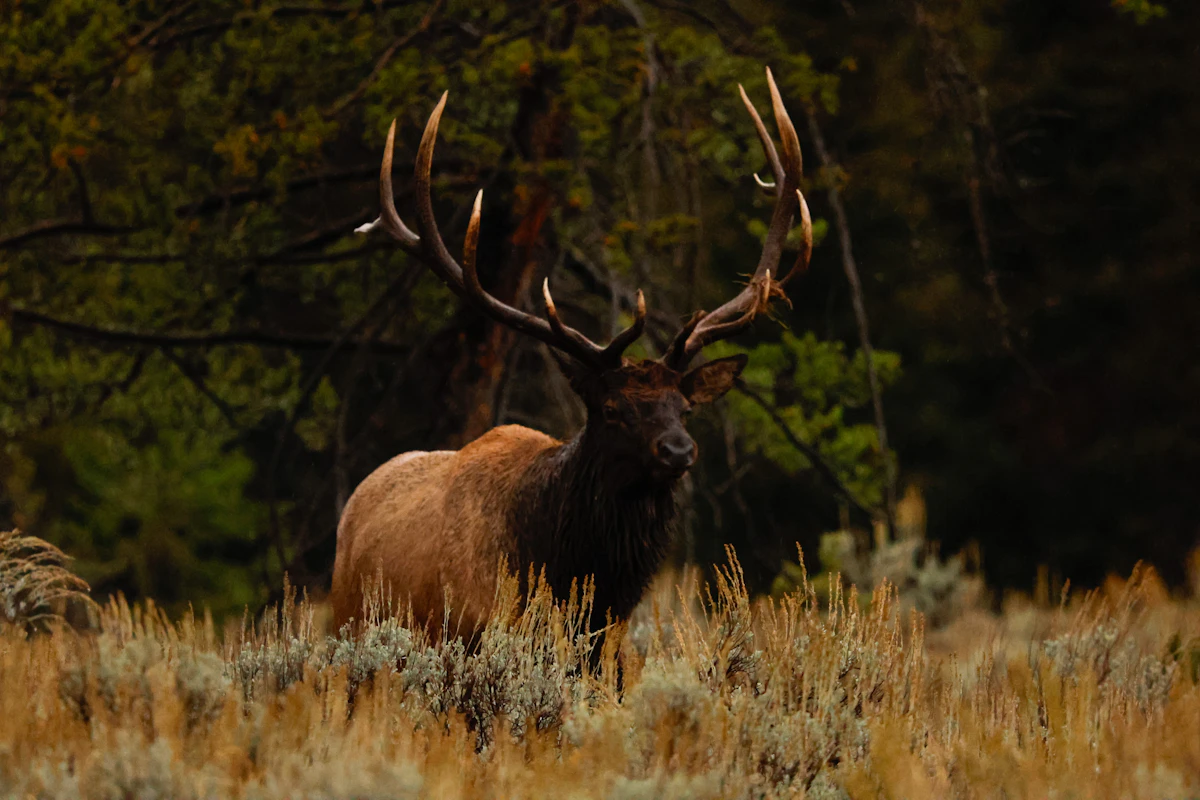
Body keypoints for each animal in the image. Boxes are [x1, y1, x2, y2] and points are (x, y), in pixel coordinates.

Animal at [330, 68, 812, 638]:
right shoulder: (473, 627)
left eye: (685, 408)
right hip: (347, 623)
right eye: (611, 408)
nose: (677, 451)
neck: (566, 573)